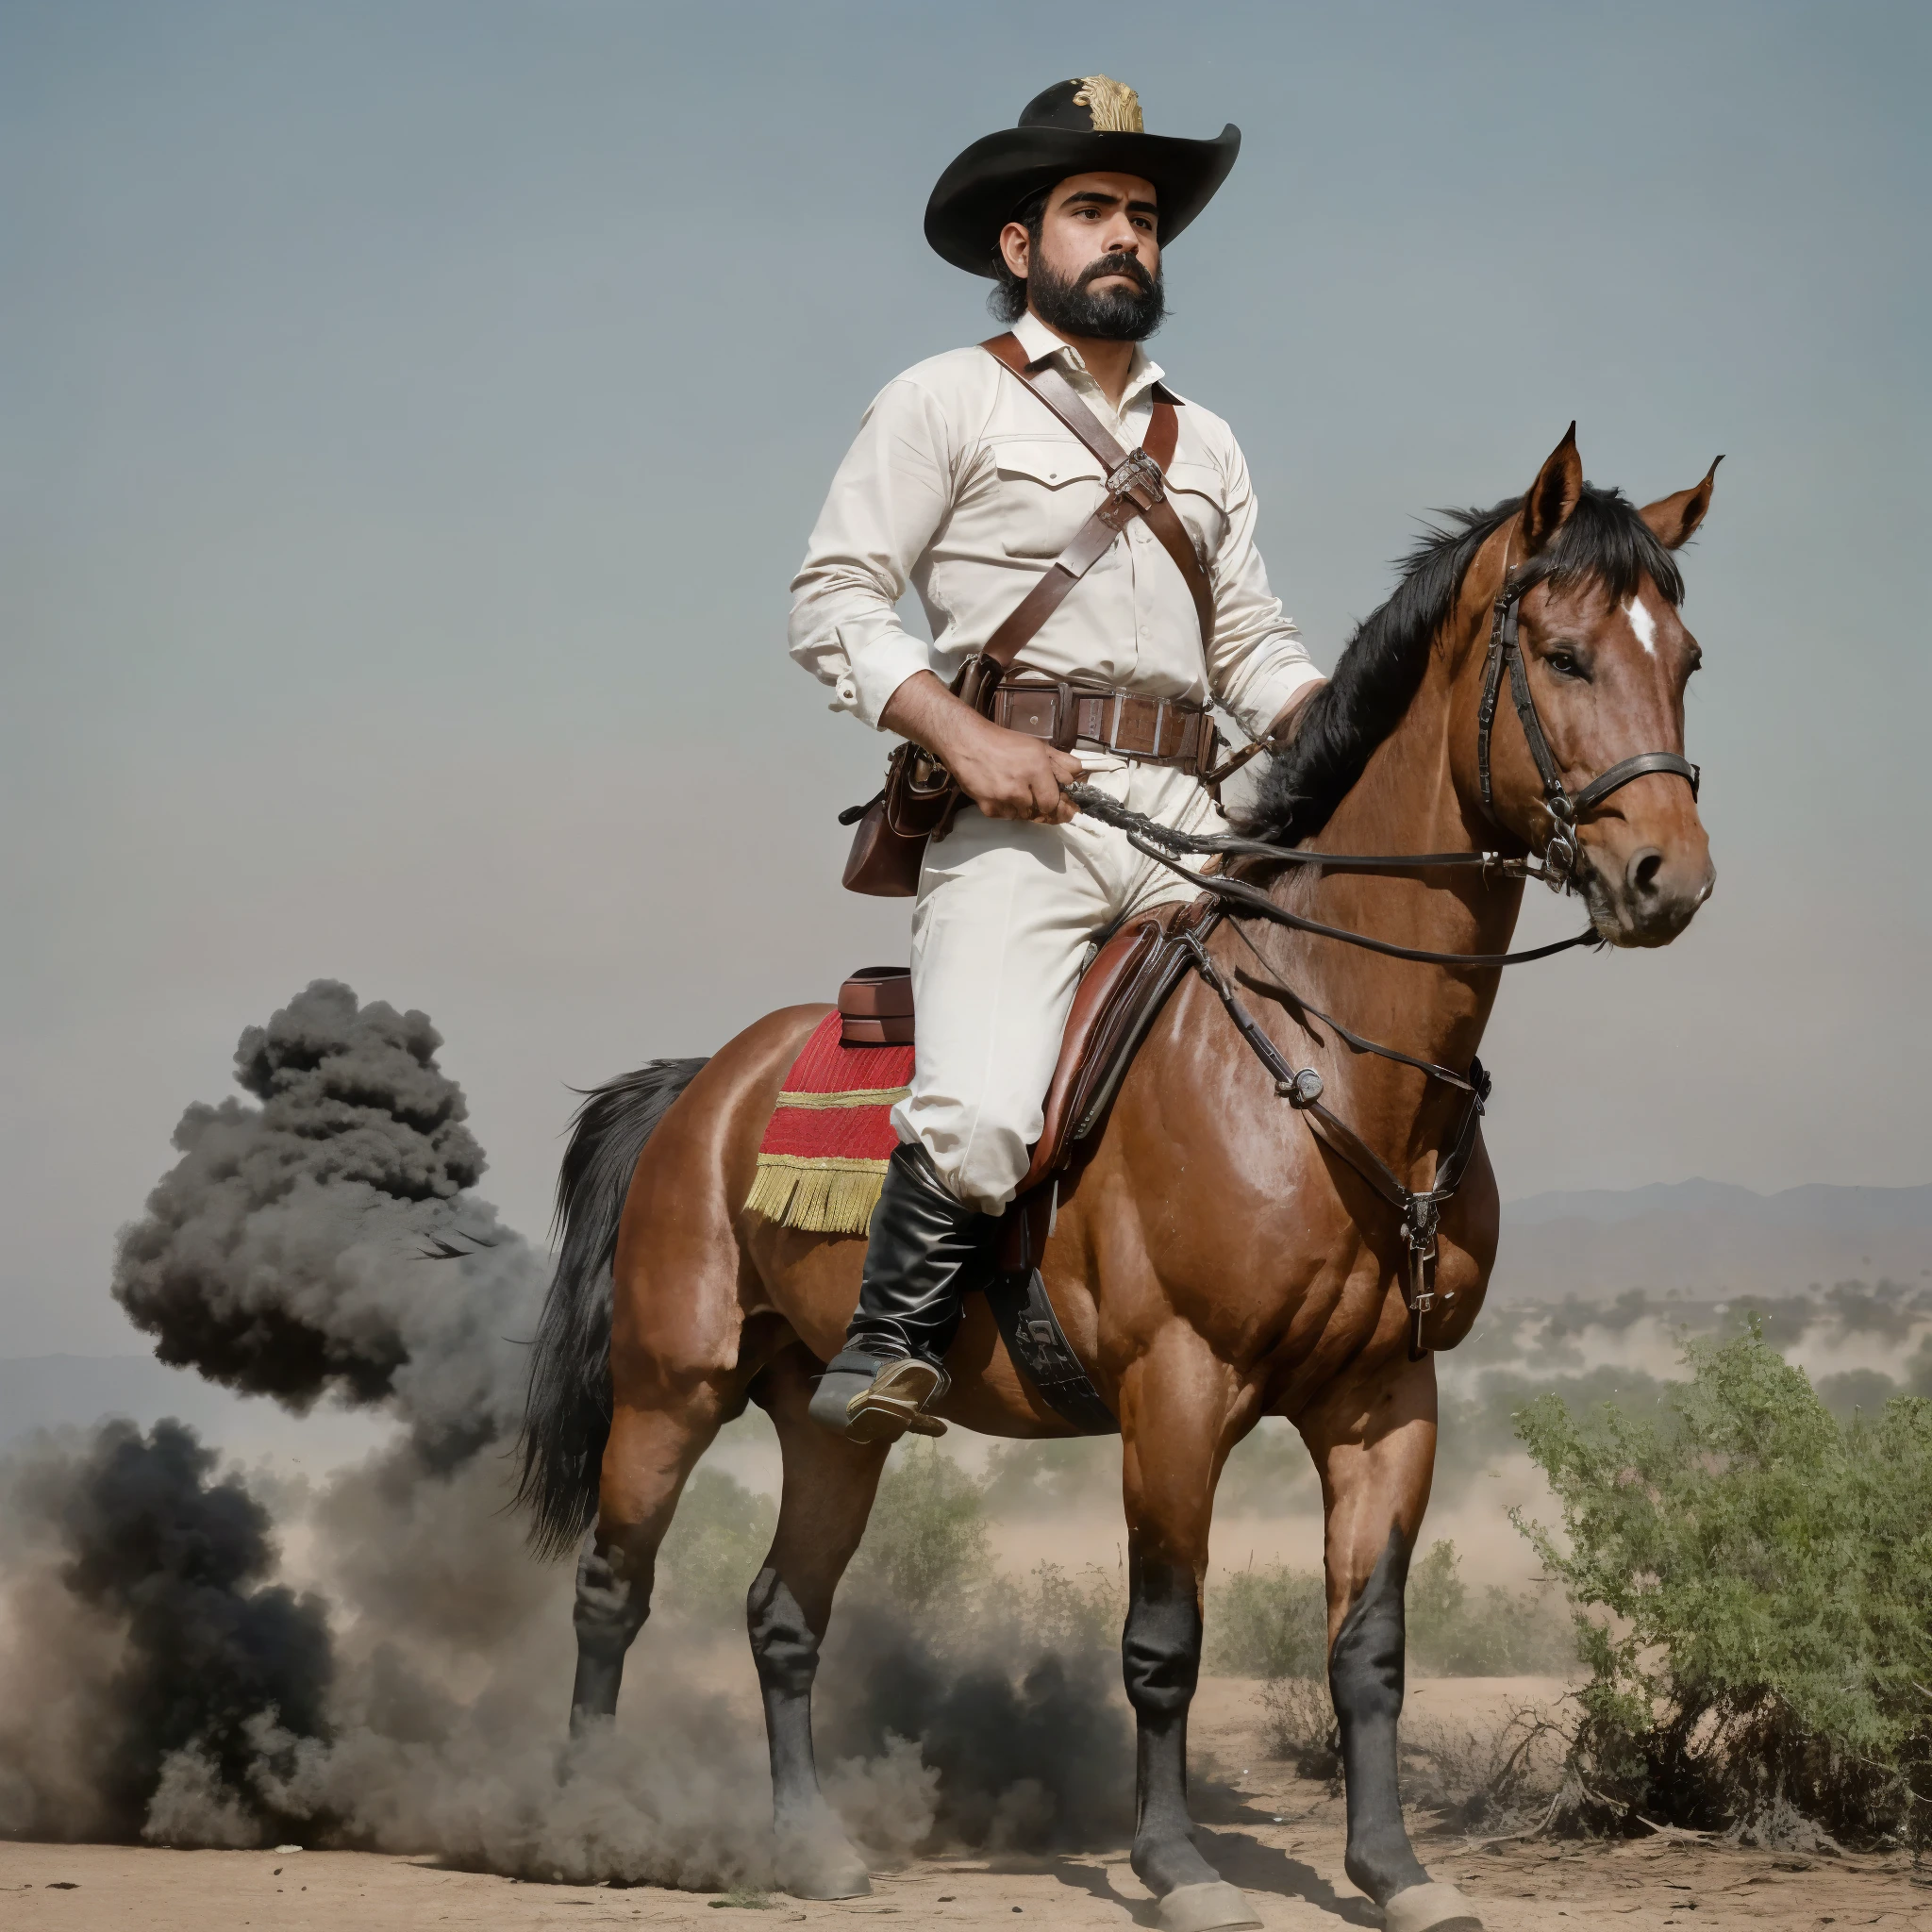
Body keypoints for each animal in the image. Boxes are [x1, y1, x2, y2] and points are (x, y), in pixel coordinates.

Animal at [517, 426, 1723, 1932]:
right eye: (1562, 654)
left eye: (1685, 658)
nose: (1668, 877)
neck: (1333, 1052)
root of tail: (700, 1081)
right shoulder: (1175, 1393)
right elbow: (1164, 1640)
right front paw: (1178, 1869)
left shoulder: (1387, 1404)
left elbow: (1369, 1648)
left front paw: (1393, 1871)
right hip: (669, 1394)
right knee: (610, 1589)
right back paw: (585, 1820)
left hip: (827, 1422)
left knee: (782, 1614)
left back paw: (811, 1846)